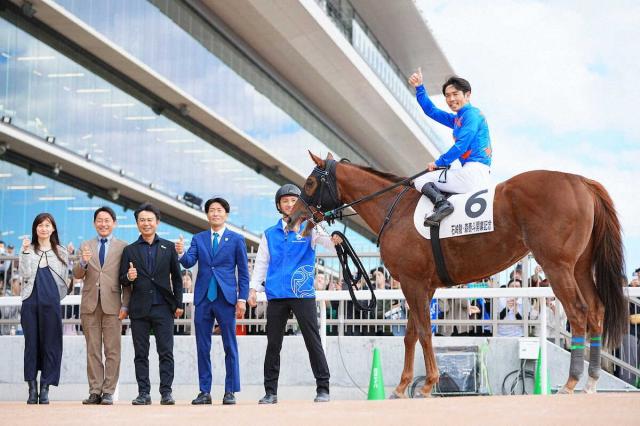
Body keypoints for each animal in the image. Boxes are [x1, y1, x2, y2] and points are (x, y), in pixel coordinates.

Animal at [287, 152, 627, 397]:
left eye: (310, 183)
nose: (292, 218)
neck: (394, 211)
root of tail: (581, 181)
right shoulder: (422, 286)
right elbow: (412, 334)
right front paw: (402, 386)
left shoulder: (412, 283)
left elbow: (425, 332)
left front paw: (428, 383)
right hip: (580, 266)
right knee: (596, 310)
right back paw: (591, 381)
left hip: (557, 266)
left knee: (579, 311)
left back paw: (571, 382)